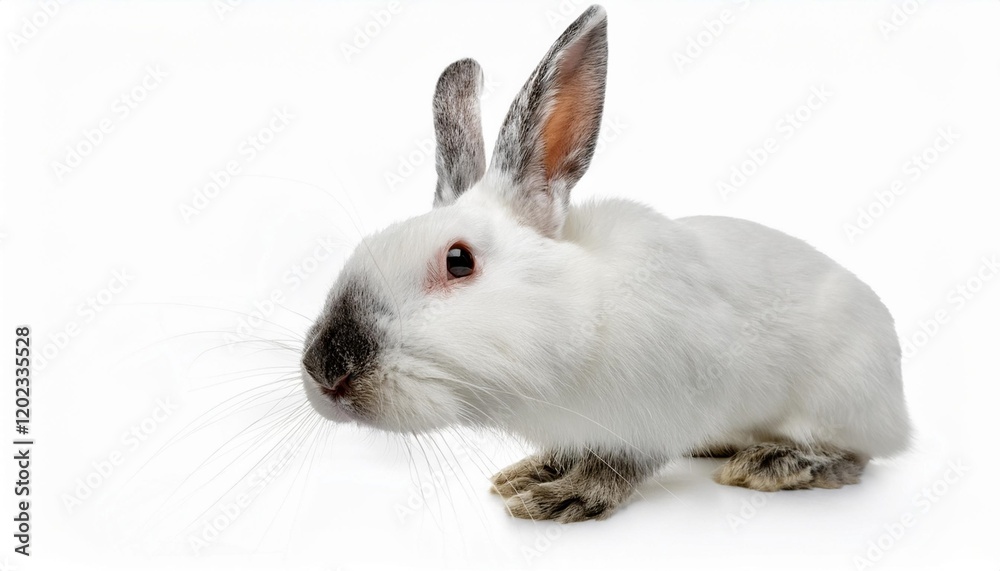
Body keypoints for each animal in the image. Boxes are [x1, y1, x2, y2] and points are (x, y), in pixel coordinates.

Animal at [300, 5, 911, 522]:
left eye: (458, 261)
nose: (326, 368)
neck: (583, 314)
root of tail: (899, 409)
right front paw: (528, 473)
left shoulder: (664, 408)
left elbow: (617, 465)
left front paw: (563, 498)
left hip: (840, 397)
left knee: (857, 456)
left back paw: (774, 463)